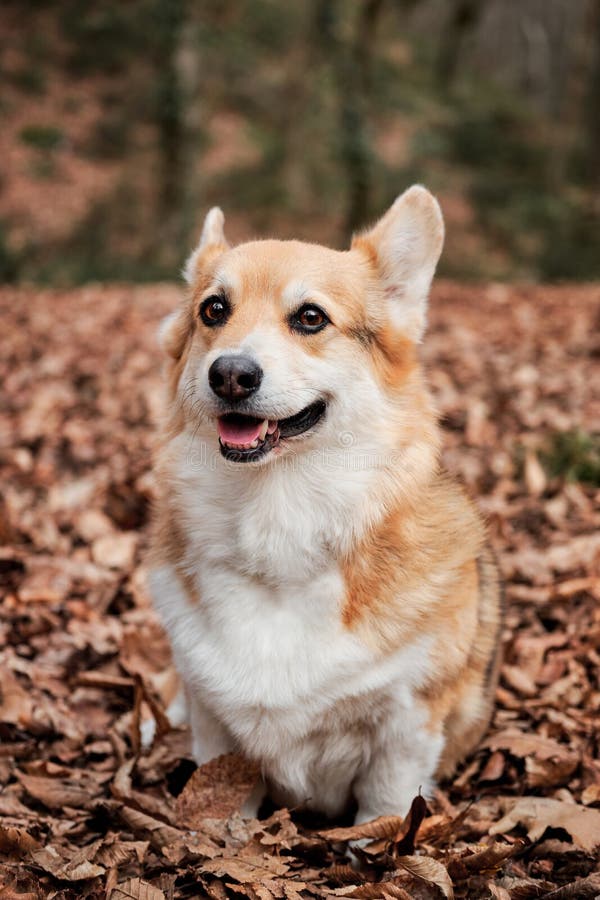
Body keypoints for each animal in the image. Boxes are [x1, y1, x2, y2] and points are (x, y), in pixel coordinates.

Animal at [148, 186, 504, 828]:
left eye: (310, 317)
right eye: (214, 310)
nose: (230, 374)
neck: (277, 521)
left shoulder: (405, 728)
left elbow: (383, 810)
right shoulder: (214, 725)